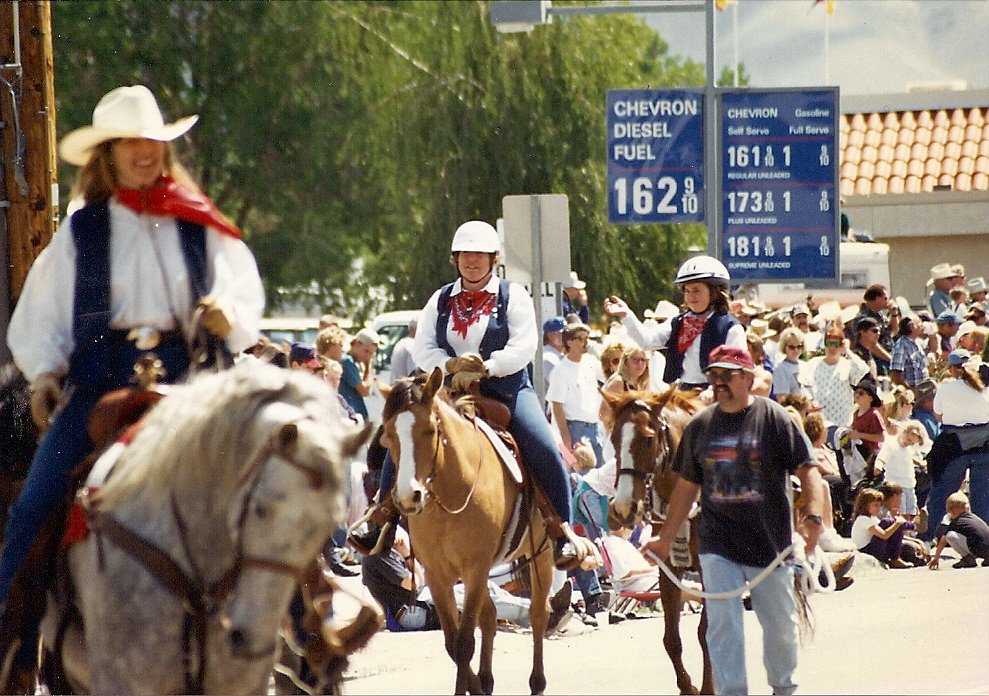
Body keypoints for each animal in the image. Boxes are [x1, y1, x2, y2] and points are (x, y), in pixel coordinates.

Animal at [380, 368, 556, 692]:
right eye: (388, 434)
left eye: (430, 430)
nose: (408, 497)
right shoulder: (438, 575)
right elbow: (454, 644)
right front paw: (477, 685)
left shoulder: (474, 568)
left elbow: (463, 645)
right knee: (490, 617)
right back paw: (486, 679)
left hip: (541, 552)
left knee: (539, 614)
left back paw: (536, 682)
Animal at [600, 388, 712, 692]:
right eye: (614, 439)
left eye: (648, 439)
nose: (623, 508)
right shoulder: (668, 569)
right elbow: (671, 640)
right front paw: (688, 687)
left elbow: (706, 634)